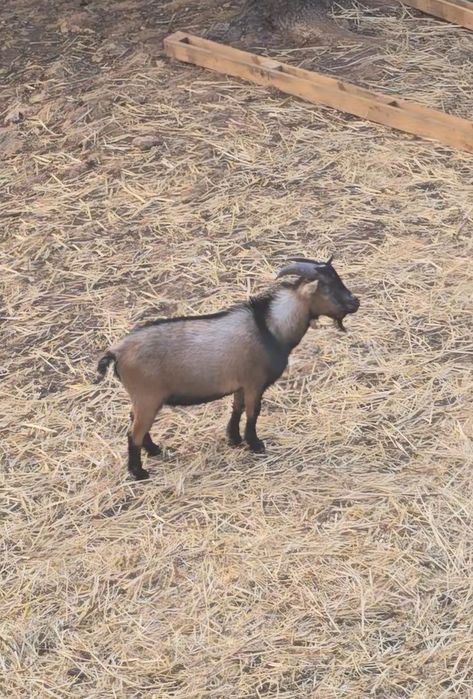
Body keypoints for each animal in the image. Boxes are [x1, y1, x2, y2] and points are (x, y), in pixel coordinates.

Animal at [96, 258, 360, 480]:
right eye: (327, 288)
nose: (355, 302)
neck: (269, 327)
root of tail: (116, 352)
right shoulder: (254, 383)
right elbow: (253, 412)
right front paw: (255, 444)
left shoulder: (240, 384)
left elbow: (237, 408)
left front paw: (233, 439)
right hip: (147, 397)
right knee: (134, 432)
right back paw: (139, 472)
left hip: (144, 400)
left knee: (135, 423)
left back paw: (154, 450)